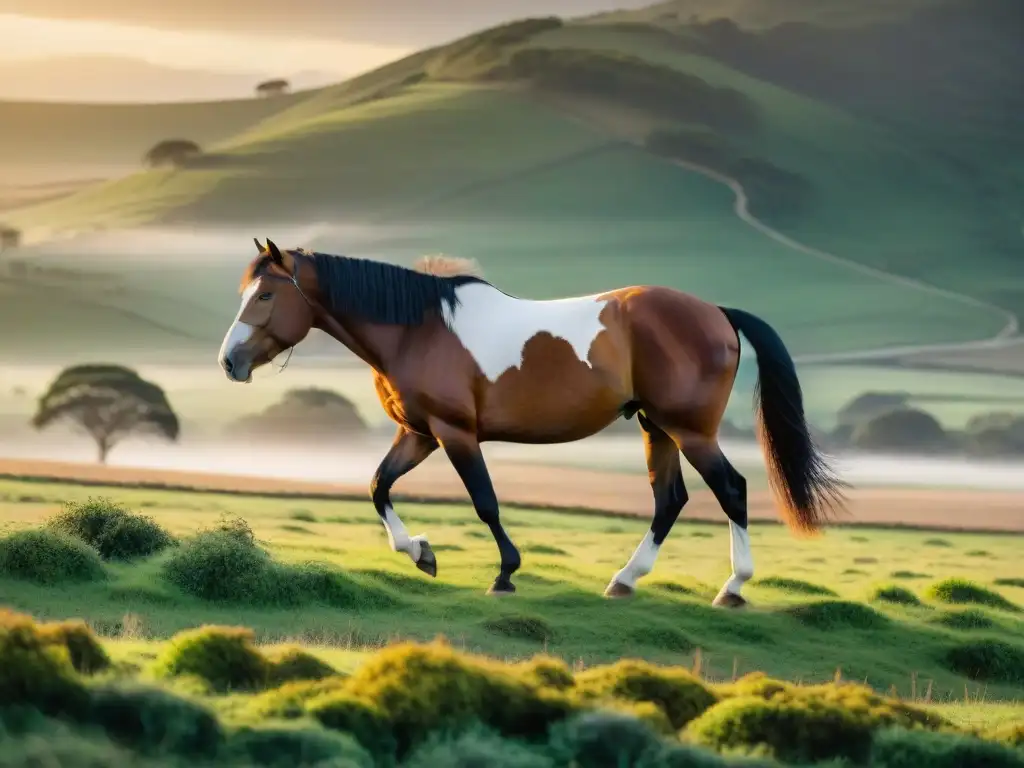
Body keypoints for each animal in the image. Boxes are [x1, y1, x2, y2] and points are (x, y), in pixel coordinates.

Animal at [220, 240, 843, 606]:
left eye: (267, 294)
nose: (230, 362)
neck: (418, 328)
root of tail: (717, 312)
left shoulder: (454, 433)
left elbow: (485, 503)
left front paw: (504, 574)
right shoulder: (418, 434)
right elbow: (378, 486)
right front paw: (421, 553)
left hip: (690, 430)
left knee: (730, 489)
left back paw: (732, 588)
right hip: (657, 428)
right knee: (670, 500)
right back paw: (624, 580)